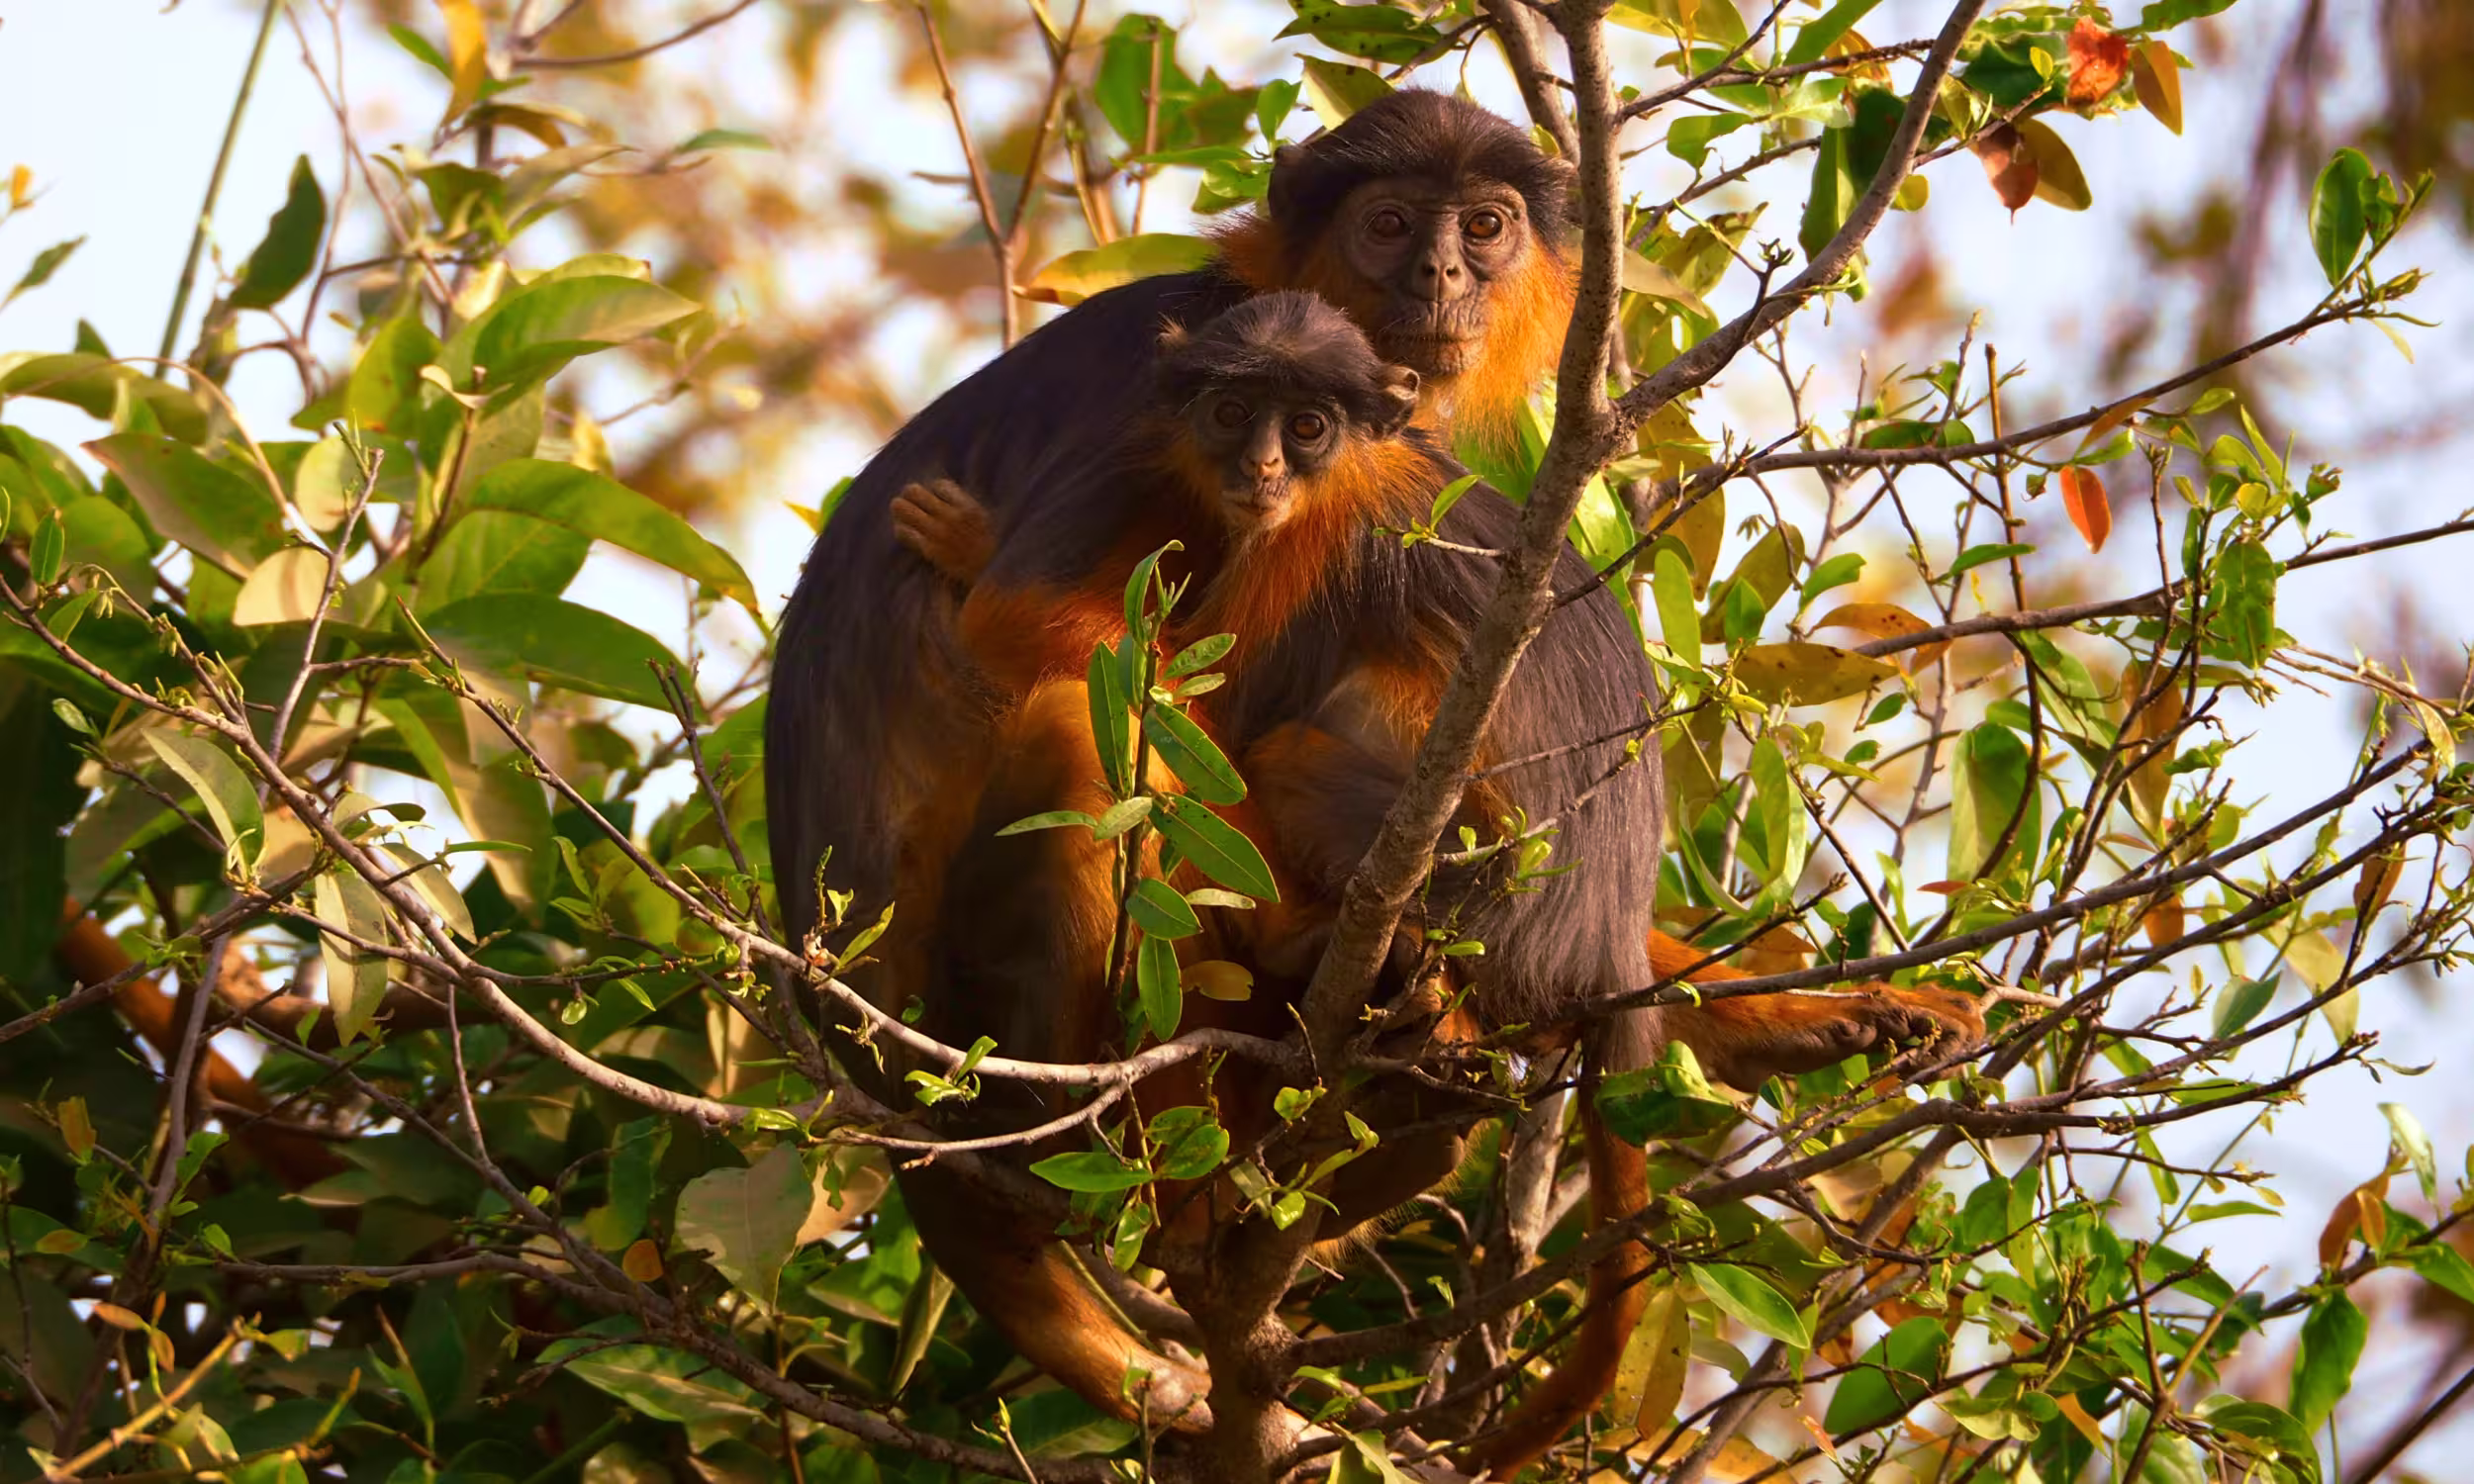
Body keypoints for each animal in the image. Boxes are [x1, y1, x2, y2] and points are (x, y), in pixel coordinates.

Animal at [882, 293, 1984, 1476]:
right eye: (1230, 412)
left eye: (1306, 427)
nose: (1260, 467)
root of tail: (1590, 943)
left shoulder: (1321, 533)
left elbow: (1173, 699)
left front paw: (975, 553)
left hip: (1456, 877)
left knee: (1190, 741)